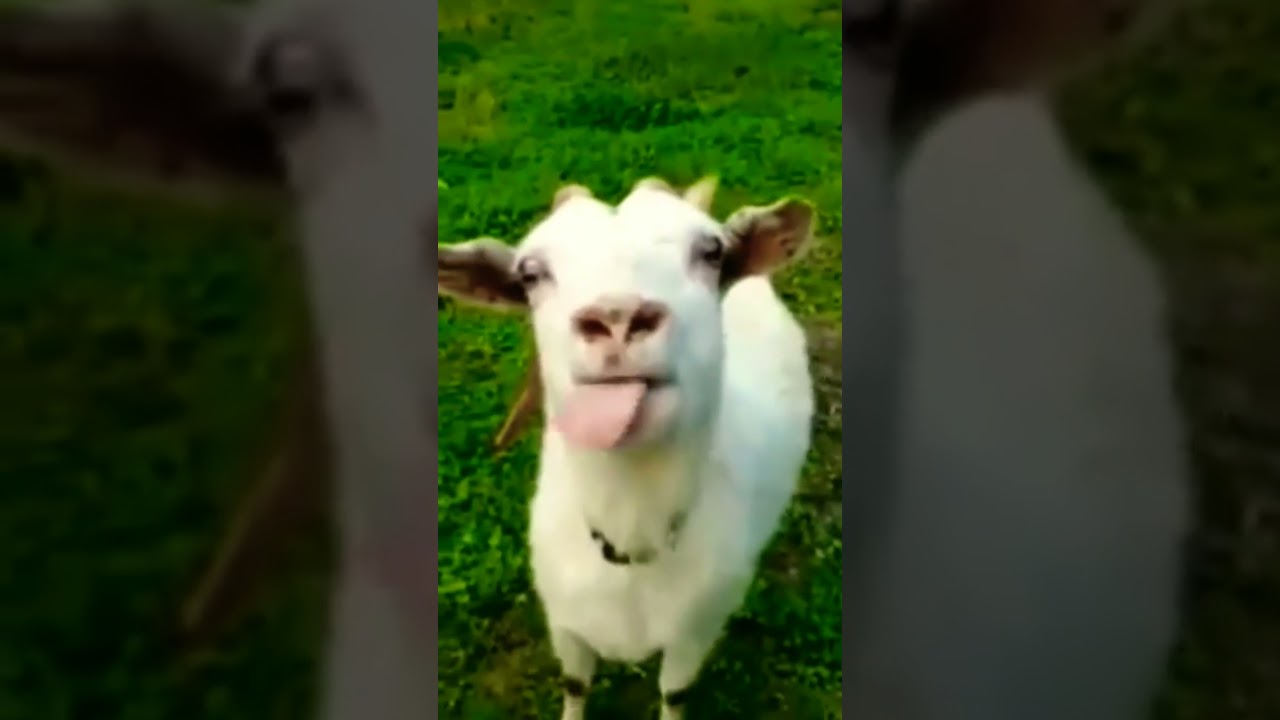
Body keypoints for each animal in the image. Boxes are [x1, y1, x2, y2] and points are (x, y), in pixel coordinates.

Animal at [438, 177, 817, 719]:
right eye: (530, 273)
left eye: (712, 251)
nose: (617, 318)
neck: (633, 540)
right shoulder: (564, 622)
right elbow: (575, 683)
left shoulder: (695, 633)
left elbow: (673, 693)